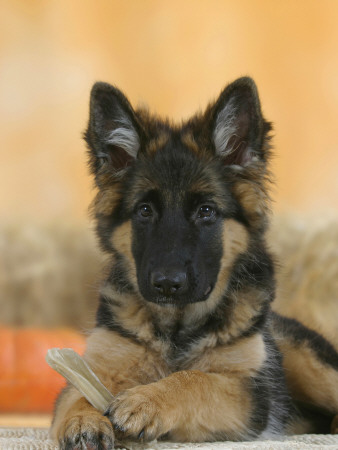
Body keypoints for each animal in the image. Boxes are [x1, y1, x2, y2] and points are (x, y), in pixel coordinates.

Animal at [50, 76, 338, 446]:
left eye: (206, 211)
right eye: (145, 211)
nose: (167, 284)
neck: (177, 326)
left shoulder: (247, 394)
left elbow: (195, 381)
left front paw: (148, 400)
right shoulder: (101, 366)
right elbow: (78, 392)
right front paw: (82, 420)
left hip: (307, 361)